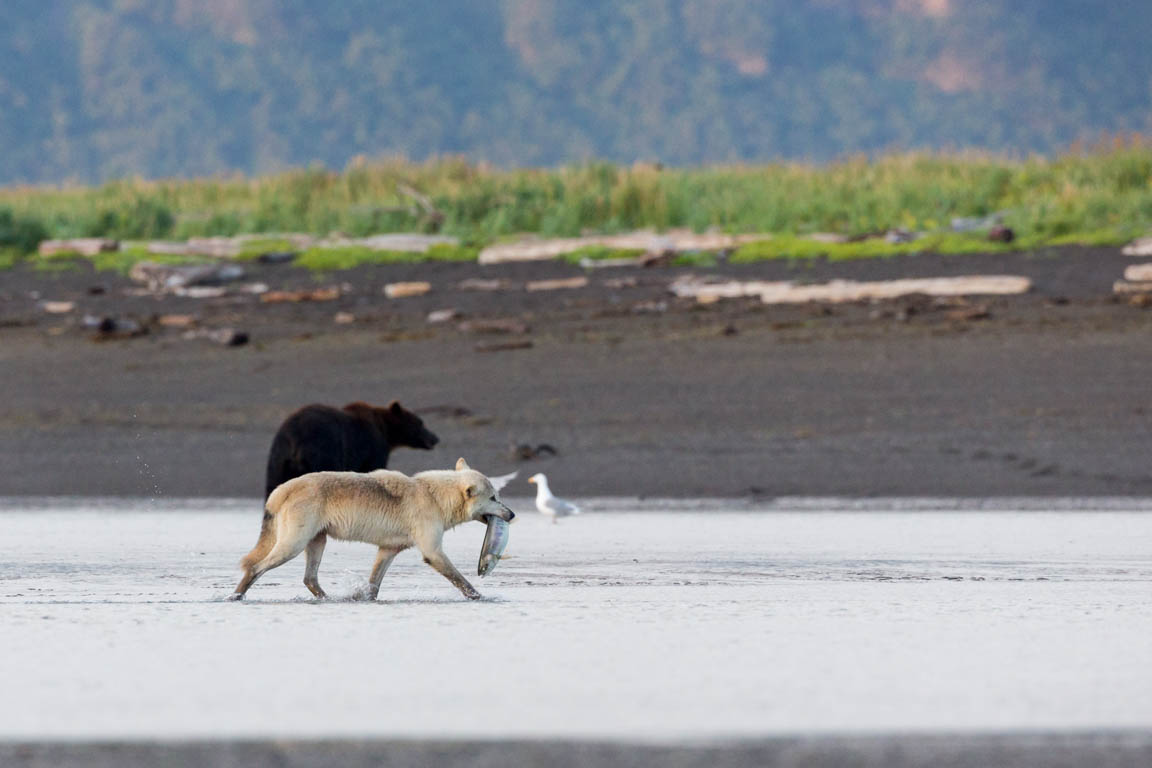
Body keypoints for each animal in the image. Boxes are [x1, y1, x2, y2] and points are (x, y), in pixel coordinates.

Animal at [233, 460, 513, 603]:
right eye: (494, 498)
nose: (512, 515)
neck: (435, 497)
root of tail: (282, 488)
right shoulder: (433, 552)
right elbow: (461, 580)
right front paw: (480, 597)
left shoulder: (388, 550)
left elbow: (373, 586)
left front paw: (364, 599)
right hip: (292, 546)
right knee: (256, 568)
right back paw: (235, 596)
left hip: (316, 543)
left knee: (309, 579)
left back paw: (330, 599)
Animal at [263, 402, 437, 499]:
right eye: (420, 423)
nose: (435, 438)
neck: (386, 432)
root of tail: (296, 439)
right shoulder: (372, 448)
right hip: (324, 451)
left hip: (278, 458)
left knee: (272, 488)